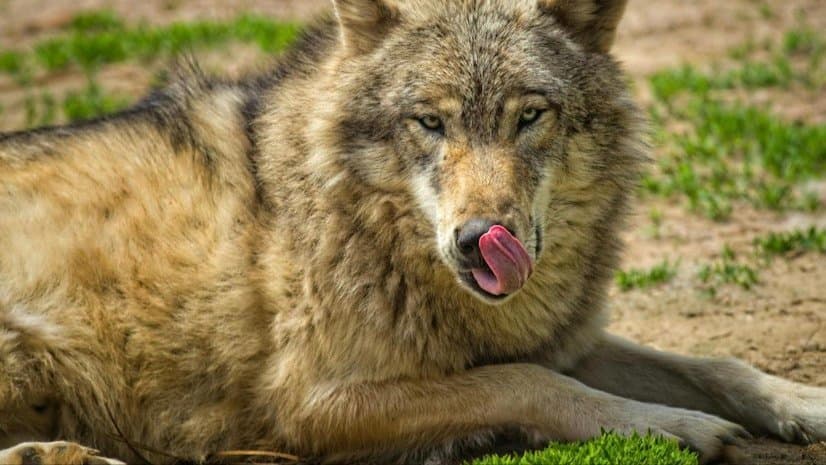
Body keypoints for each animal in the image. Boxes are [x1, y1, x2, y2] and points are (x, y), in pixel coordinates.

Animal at [1, 0, 824, 464]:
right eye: (430, 122)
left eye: (530, 115)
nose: (478, 238)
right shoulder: (312, 404)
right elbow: (526, 382)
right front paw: (666, 426)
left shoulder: (561, 339)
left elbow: (718, 365)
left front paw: (804, 403)